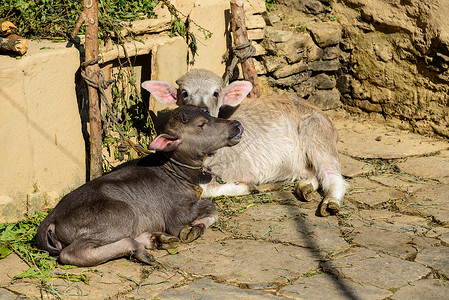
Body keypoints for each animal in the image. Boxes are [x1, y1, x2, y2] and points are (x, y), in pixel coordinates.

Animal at [36, 105, 243, 268]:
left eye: (208, 113)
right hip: (121, 214)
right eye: (201, 124)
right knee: (71, 253)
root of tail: (52, 216)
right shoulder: (176, 216)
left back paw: (154, 239)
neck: (177, 173)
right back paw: (138, 248)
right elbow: (210, 206)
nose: (237, 125)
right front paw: (194, 228)